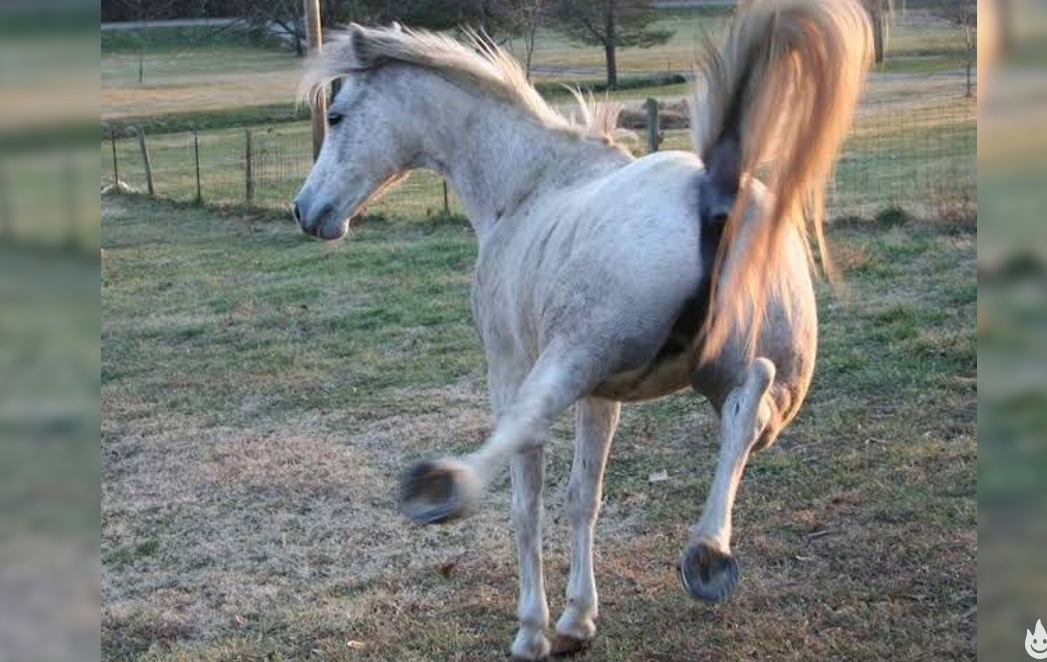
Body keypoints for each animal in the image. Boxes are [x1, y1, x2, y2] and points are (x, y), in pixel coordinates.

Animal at [291, 2, 871, 657]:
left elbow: (528, 500)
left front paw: (533, 629)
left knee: (525, 438)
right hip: (754, 383)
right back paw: (707, 554)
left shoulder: (514, 368)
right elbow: (582, 498)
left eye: (336, 115)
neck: (528, 185)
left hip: (571, 358)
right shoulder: (604, 395)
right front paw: (577, 618)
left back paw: (441, 488)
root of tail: (718, 193)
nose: (305, 210)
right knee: (749, 409)